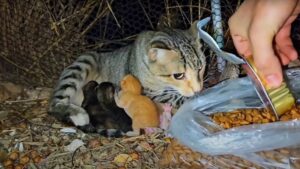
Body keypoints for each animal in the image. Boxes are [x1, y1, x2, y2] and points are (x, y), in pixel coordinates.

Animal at [48, 22, 206, 128]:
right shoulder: (150, 92)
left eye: (200, 68)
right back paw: (78, 114)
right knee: (54, 104)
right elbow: (177, 98)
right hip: (82, 64)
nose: (198, 89)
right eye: (178, 75)